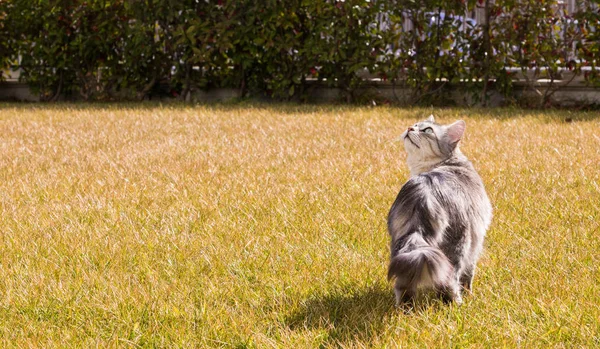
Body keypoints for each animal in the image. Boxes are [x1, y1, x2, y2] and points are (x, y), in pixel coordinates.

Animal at [390, 115, 492, 304]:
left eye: (427, 130)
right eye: (416, 125)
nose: (409, 128)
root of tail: (424, 190)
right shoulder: (477, 240)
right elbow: (468, 275)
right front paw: (469, 294)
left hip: (401, 247)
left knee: (403, 285)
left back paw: (405, 309)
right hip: (459, 245)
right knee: (450, 281)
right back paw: (457, 304)